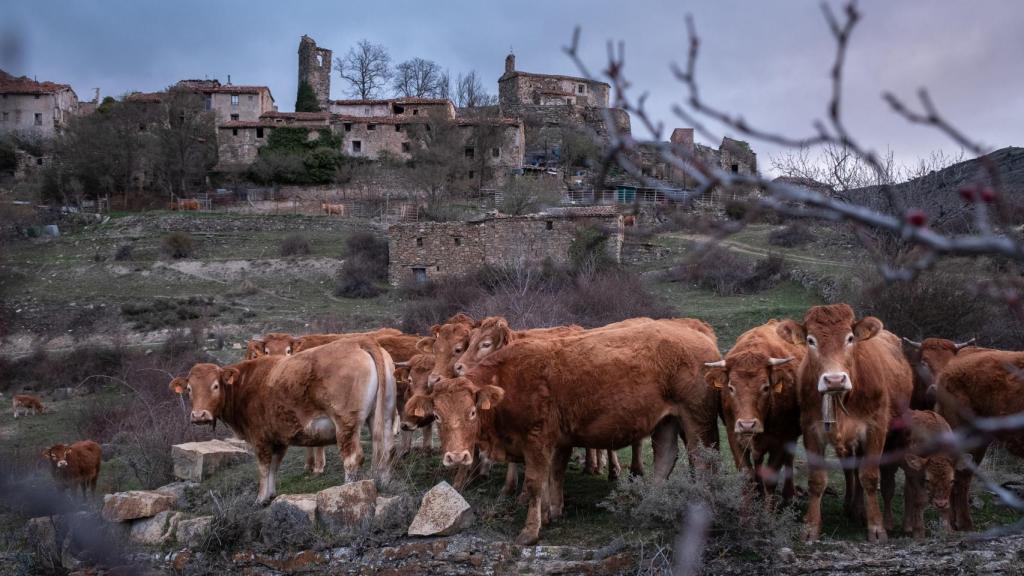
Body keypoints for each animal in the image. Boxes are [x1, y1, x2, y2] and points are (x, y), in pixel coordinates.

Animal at [169, 334, 393, 500]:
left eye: (215, 386)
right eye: (189, 389)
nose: (199, 415)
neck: (245, 384)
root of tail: (359, 341)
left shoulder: (259, 437)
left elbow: (264, 468)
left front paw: (261, 498)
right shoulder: (278, 437)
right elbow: (274, 467)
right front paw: (270, 495)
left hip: (346, 423)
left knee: (353, 458)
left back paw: (347, 490)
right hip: (383, 416)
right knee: (384, 450)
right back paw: (381, 482)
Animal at [405, 323, 720, 541]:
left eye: (472, 412)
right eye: (438, 415)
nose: (457, 457)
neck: (507, 380)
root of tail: (698, 335)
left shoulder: (537, 438)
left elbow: (535, 482)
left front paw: (530, 530)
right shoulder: (555, 440)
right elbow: (550, 477)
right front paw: (550, 513)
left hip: (696, 418)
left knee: (702, 462)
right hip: (666, 421)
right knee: (665, 458)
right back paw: (649, 507)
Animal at [704, 315, 806, 500]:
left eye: (766, 387)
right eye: (731, 387)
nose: (747, 424)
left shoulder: (781, 440)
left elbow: (771, 480)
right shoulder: (734, 436)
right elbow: (747, 477)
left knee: (789, 458)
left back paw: (789, 494)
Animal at [778, 303, 917, 541]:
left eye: (850, 338)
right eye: (811, 340)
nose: (834, 379)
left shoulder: (875, 429)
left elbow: (869, 476)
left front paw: (876, 527)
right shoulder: (811, 430)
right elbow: (817, 480)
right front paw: (811, 527)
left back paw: (860, 510)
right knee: (849, 469)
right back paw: (852, 507)